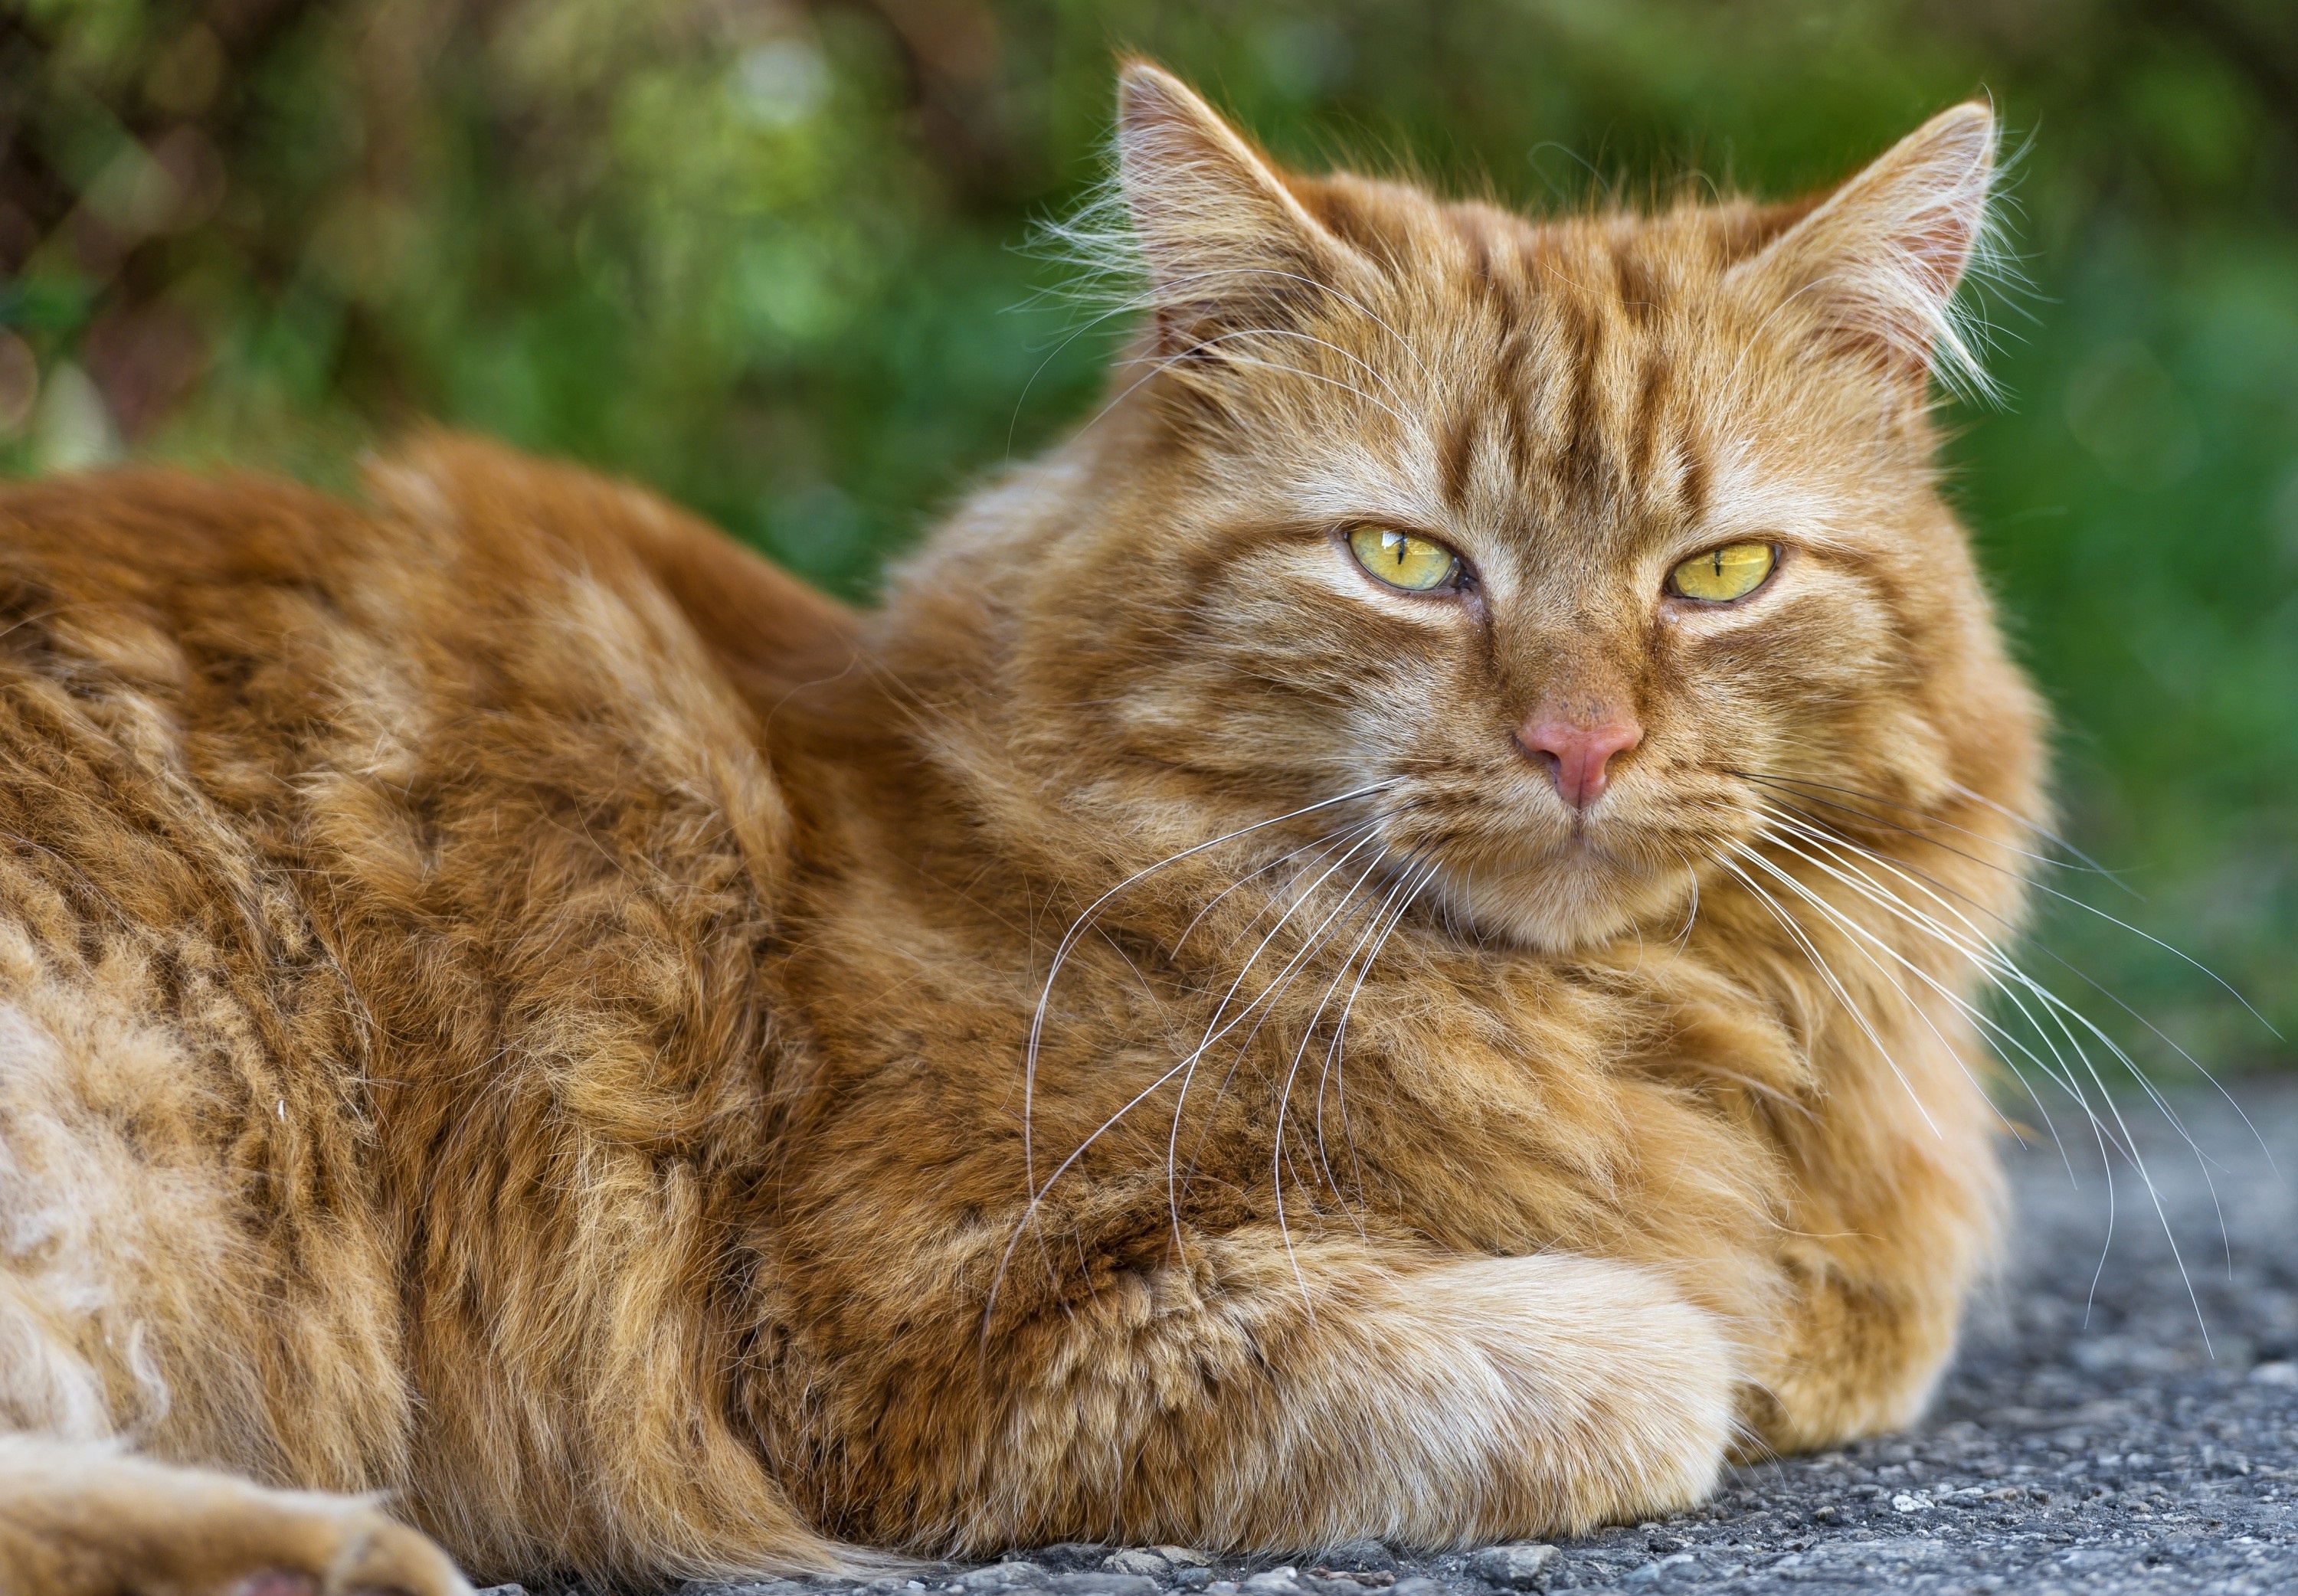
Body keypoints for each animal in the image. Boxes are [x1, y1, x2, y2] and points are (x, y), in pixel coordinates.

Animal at [0, 65, 2050, 1596]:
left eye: (1718, 576)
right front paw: (1692, 1328)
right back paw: (339, 1545)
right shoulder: (925, 1310)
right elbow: (1640, 1361)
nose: (1580, 742)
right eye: (1405, 561)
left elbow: (1863, 1331)